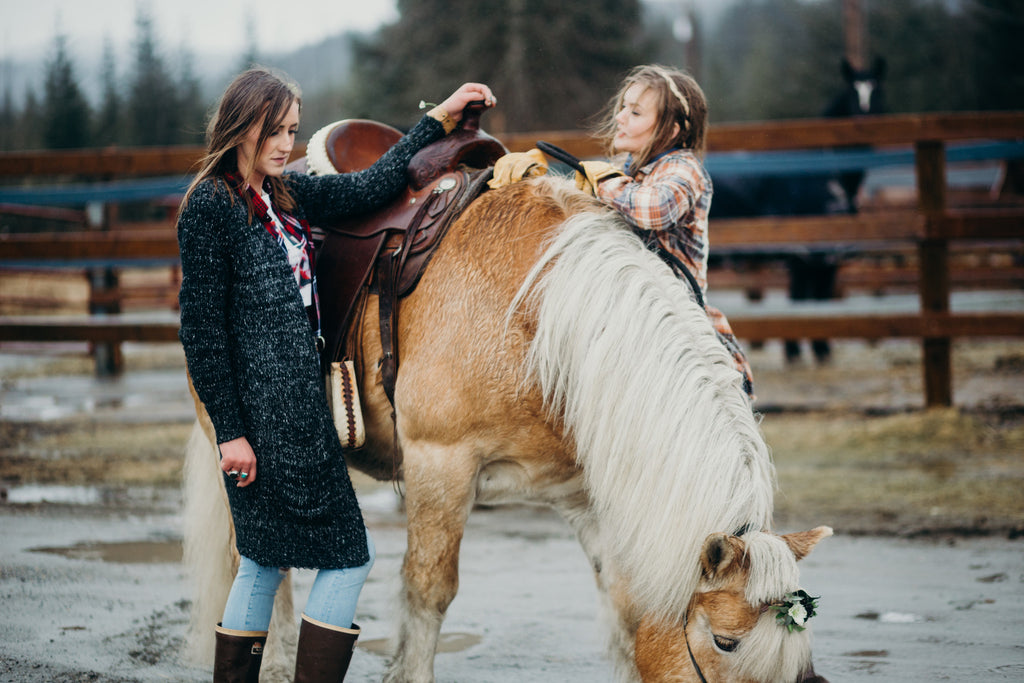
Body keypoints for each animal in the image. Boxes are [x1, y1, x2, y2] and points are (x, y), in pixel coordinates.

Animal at [182, 131, 831, 679]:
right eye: (725, 641)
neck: (544, 317)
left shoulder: (584, 495)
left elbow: (623, 608)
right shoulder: (439, 467)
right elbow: (428, 591)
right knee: (259, 561)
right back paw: (274, 659)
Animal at [712, 58, 888, 366]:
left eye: (877, 91)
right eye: (852, 94)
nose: (865, 123)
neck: (827, 175)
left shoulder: (827, 257)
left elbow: (820, 299)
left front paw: (821, 351)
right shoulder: (802, 254)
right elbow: (800, 300)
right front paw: (796, 352)